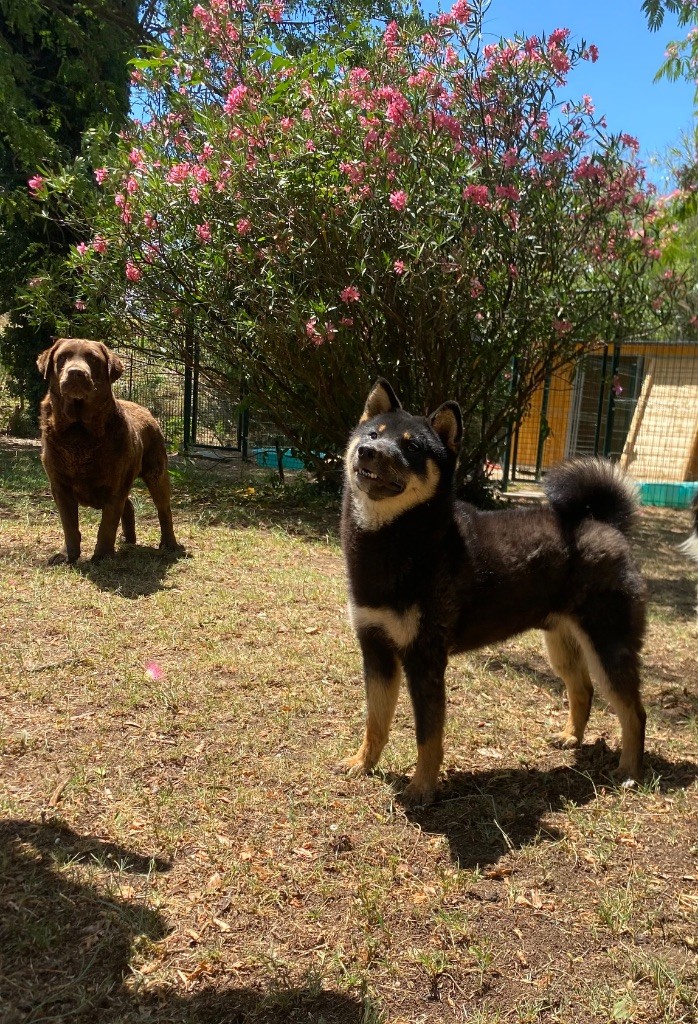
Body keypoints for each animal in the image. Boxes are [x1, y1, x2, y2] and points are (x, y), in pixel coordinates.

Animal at [37, 337, 181, 565]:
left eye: (93, 359)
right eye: (62, 357)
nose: (76, 372)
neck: (79, 434)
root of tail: (146, 409)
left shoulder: (115, 485)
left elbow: (107, 525)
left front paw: (103, 556)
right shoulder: (59, 486)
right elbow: (69, 525)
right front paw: (67, 555)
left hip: (156, 472)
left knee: (163, 509)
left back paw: (169, 544)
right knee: (129, 505)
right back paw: (128, 540)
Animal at [339, 380, 642, 802]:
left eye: (412, 447)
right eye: (372, 435)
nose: (368, 451)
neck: (397, 542)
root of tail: (606, 523)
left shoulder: (424, 660)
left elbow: (428, 737)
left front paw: (422, 788)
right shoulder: (376, 651)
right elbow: (376, 721)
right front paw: (364, 763)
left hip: (608, 647)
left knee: (634, 711)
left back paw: (629, 769)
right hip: (562, 646)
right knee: (582, 690)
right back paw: (570, 737)